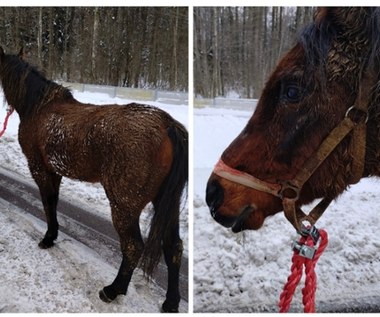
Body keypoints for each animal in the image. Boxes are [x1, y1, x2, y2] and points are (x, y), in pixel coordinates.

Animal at [0, 47, 188, 312]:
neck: (38, 107)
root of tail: (167, 125)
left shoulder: (39, 169)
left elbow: (47, 204)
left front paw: (48, 238)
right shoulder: (55, 172)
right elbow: (53, 203)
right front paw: (53, 235)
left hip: (124, 205)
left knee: (133, 247)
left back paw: (113, 290)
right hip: (166, 204)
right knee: (173, 248)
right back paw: (170, 302)